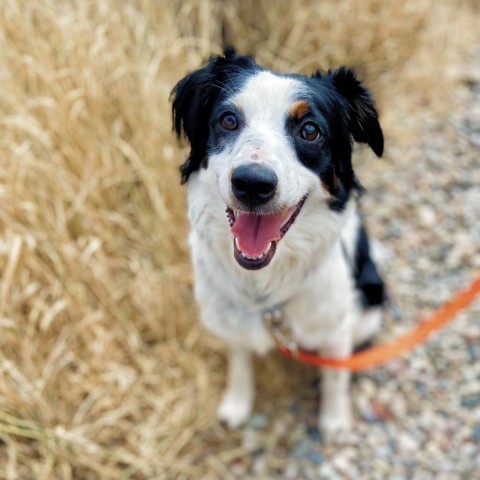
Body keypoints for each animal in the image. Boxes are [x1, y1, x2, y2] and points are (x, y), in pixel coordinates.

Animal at [172, 49, 386, 438]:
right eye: (228, 120)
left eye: (310, 130)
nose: (252, 183)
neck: (263, 288)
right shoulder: (230, 320)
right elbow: (239, 359)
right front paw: (237, 403)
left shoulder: (336, 328)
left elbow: (335, 376)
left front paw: (334, 420)